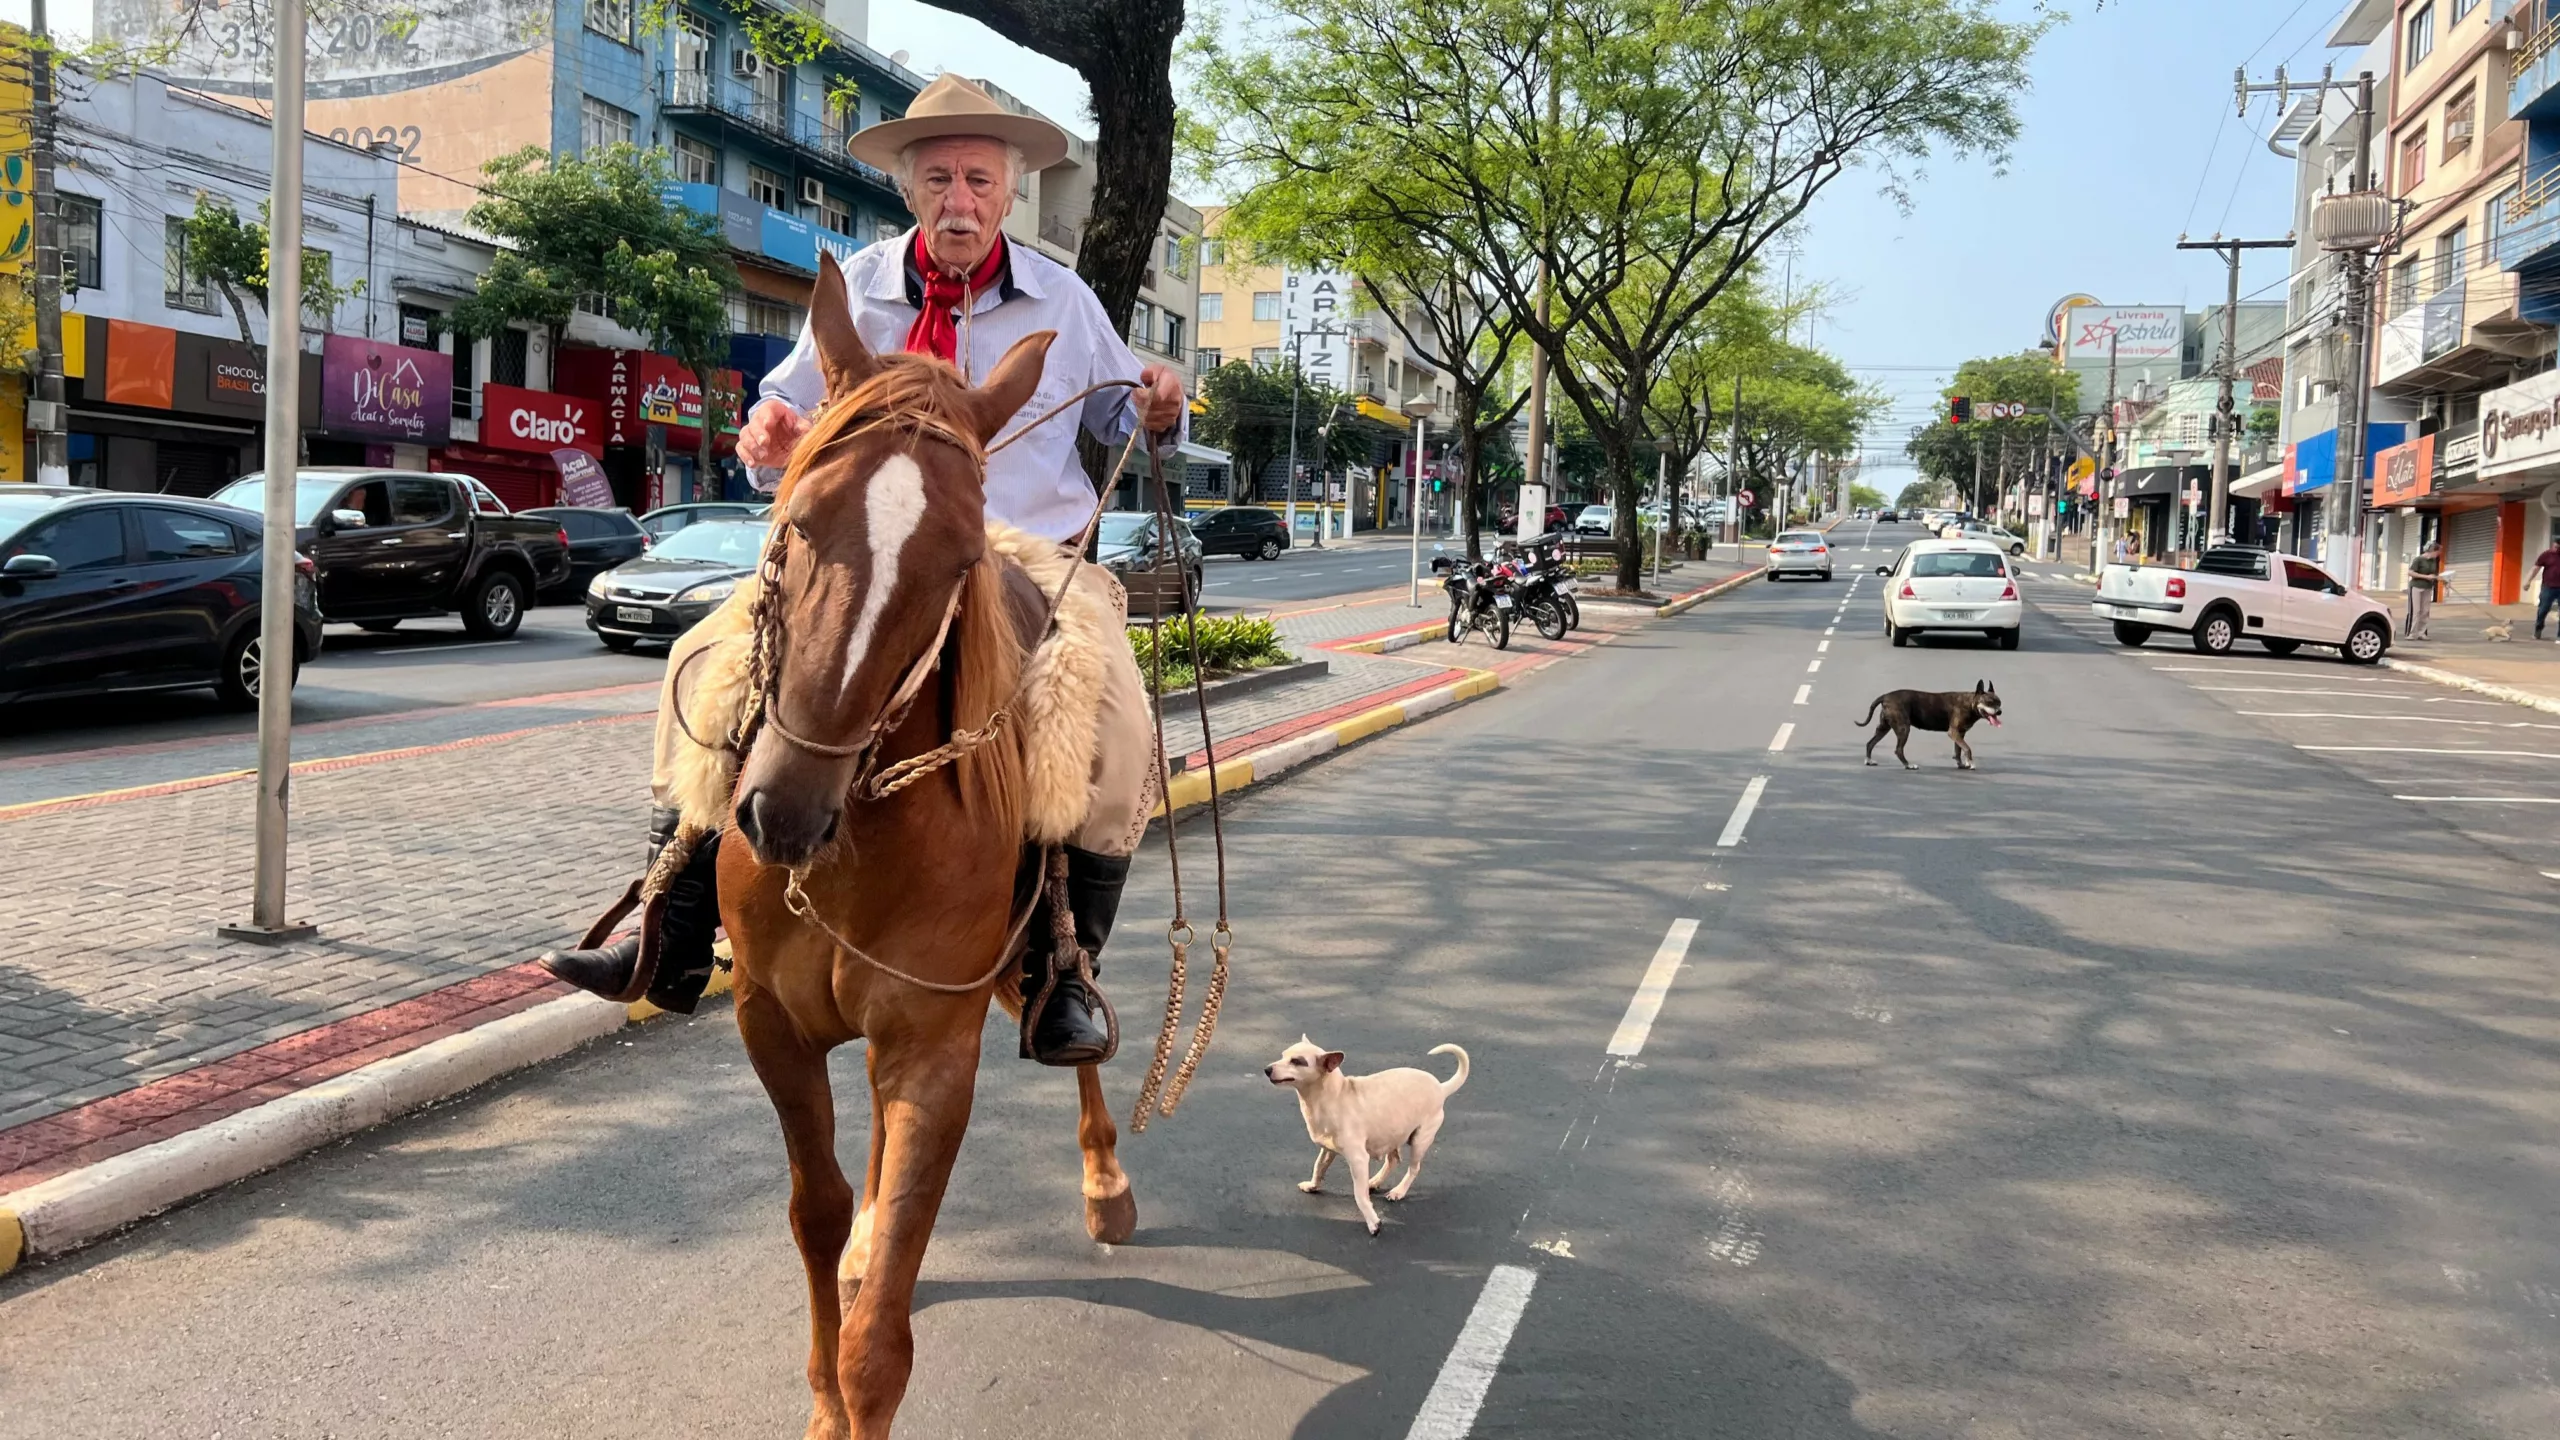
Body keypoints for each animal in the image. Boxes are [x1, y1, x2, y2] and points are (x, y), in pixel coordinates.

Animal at [716, 260, 1126, 1434]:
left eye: (956, 559)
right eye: (801, 519)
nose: (782, 814)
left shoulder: (937, 1047)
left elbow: (880, 1346)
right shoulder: (770, 1025)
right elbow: (817, 1210)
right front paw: (820, 1383)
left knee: (1079, 1015)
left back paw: (1106, 1186)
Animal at [1264, 1030, 1474, 1235]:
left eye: (1297, 1061)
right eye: (1283, 1055)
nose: (1267, 1069)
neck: (1332, 1097)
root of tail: (1441, 1087)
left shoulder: (1358, 1160)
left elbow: (1359, 1194)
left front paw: (1373, 1221)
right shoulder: (1327, 1150)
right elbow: (1319, 1167)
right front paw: (1312, 1185)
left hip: (1419, 1141)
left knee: (1413, 1169)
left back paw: (1398, 1191)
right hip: (1392, 1133)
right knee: (1393, 1160)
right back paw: (1374, 1182)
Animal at [1863, 676, 1996, 768]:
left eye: (1998, 703)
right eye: (1989, 702)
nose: (1999, 711)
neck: (1969, 703)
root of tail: (1885, 696)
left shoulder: (1960, 734)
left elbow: (1958, 750)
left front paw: (1961, 764)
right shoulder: (1954, 732)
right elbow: (1967, 748)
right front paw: (1971, 763)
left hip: (1884, 727)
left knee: (1870, 743)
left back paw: (1869, 760)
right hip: (1903, 728)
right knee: (1898, 750)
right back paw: (1908, 765)